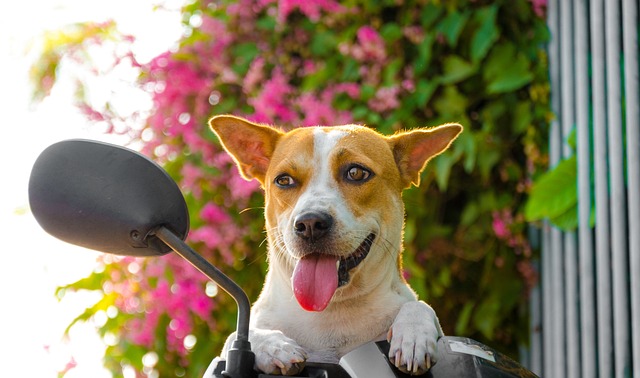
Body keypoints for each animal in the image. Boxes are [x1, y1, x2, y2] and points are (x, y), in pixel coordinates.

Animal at [208, 114, 462, 376]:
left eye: (356, 173)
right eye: (284, 180)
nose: (310, 223)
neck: (331, 311)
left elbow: (421, 306)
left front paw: (413, 335)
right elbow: (236, 337)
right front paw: (274, 346)